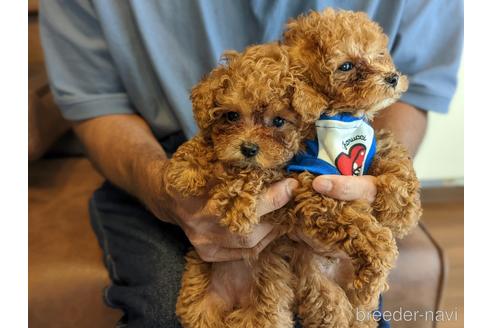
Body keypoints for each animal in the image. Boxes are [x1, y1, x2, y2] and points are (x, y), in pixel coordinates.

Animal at [167, 43, 328, 328]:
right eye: (232, 116)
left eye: (278, 121)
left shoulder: (281, 170)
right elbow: (206, 142)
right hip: (201, 304)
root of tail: (234, 302)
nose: (249, 149)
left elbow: (254, 174)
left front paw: (235, 205)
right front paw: (185, 169)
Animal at [284, 9, 422, 326]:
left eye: (379, 54)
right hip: (318, 287)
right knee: (335, 310)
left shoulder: (373, 145)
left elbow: (395, 156)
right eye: (346, 66)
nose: (392, 77)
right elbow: (360, 227)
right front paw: (381, 255)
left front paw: (402, 210)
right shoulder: (313, 183)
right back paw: (363, 290)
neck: (344, 117)